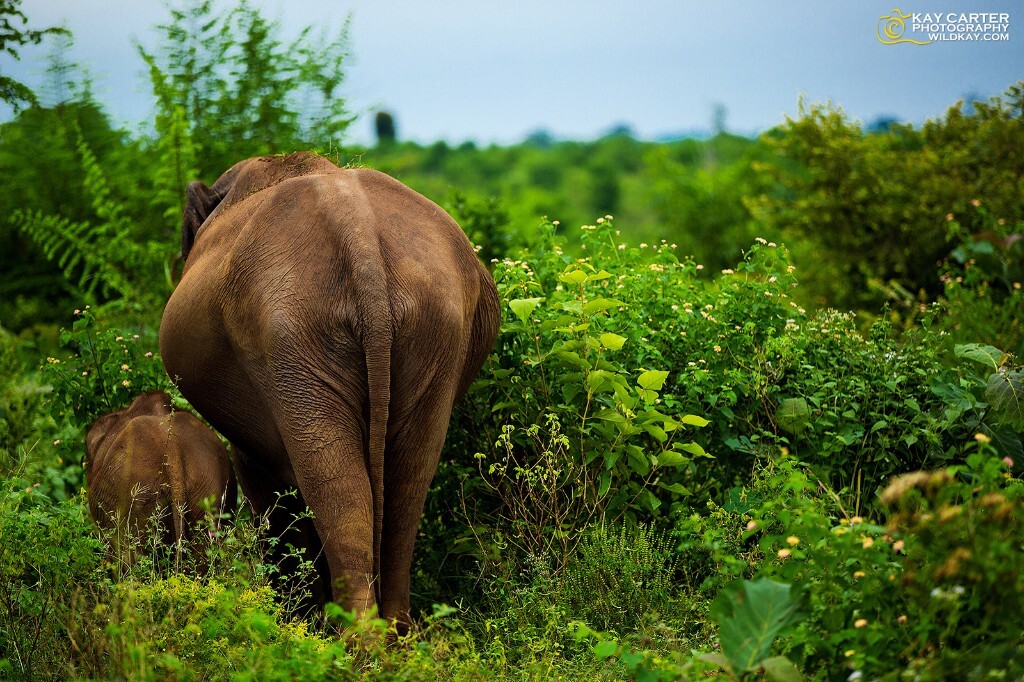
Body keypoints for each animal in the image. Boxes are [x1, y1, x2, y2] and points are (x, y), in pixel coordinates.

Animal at [157, 150, 501, 626]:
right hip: (435, 332)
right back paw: (393, 633)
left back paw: (352, 636)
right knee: (407, 481)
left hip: (289, 340)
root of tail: (360, 241)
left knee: (337, 488)